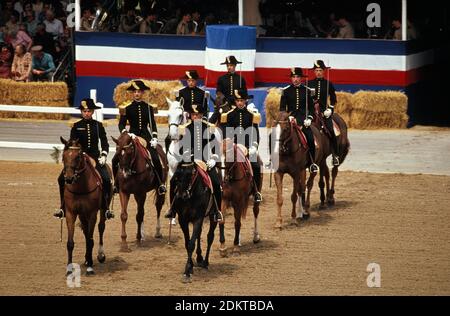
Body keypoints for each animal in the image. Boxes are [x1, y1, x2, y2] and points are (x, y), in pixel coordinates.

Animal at [60, 137, 110, 276]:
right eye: (63, 156)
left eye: (78, 157)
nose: (69, 179)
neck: (81, 186)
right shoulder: (71, 213)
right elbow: (70, 242)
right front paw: (69, 268)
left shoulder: (92, 214)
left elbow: (90, 240)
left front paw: (90, 268)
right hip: (82, 215)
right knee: (86, 231)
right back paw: (87, 259)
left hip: (102, 210)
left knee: (100, 228)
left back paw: (100, 256)